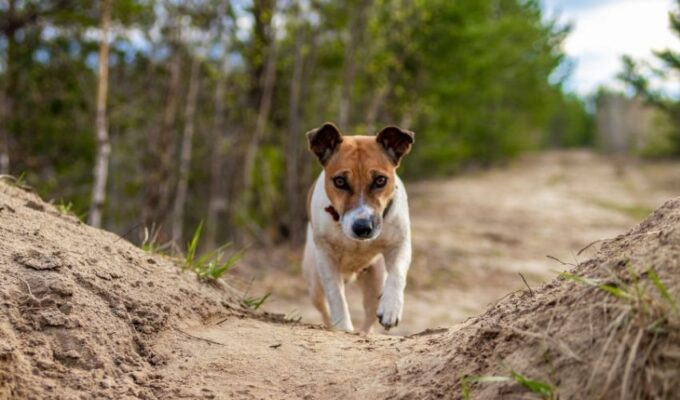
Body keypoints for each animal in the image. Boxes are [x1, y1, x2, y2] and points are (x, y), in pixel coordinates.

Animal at [302, 121, 414, 332]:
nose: (362, 227)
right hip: (314, 284)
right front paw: (343, 326)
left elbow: (397, 274)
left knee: (369, 315)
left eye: (380, 180)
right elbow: (336, 297)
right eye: (340, 181)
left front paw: (391, 307)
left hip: (375, 278)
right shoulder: (326, 258)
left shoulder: (400, 243)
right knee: (324, 309)